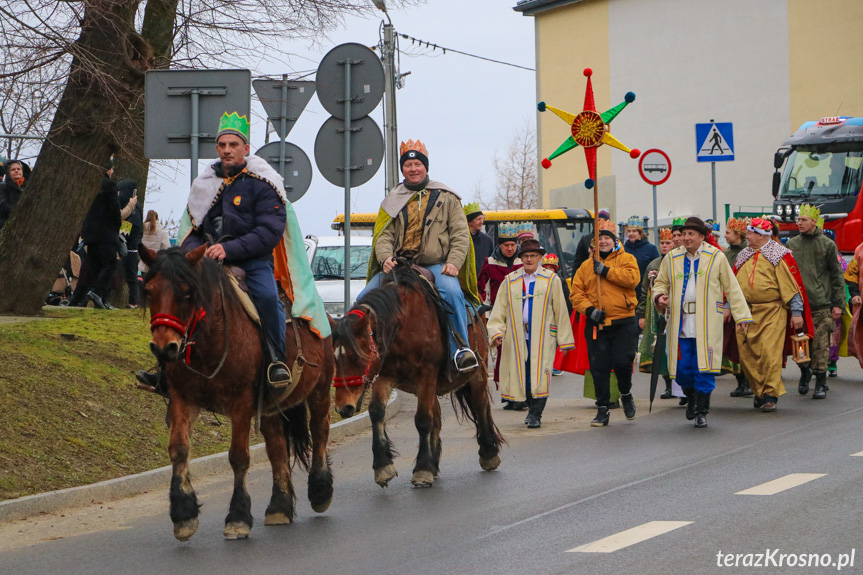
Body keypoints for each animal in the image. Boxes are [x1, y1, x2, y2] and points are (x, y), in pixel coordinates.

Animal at [140, 245, 332, 544]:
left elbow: (238, 456)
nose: (164, 347)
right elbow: (179, 449)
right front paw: (184, 515)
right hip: (270, 408)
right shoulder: (184, 398)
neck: (212, 338)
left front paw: (238, 517)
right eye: (149, 291)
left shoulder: (241, 403)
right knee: (277, 447)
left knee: (320, 430)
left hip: (320, 389)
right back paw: (279, 507)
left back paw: (321, 491)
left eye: (187, 292)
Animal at [332, 264, 506, 488]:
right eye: (334, 358)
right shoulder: (385, 376)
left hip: (477, 374)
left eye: (356, 357)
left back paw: (488, 453)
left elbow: (423, 420)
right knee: (437, 419)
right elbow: (377, 412)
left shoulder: (426, 375)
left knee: (480, 405)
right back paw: (433, 461)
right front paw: (383, 465)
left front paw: (422, 469)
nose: (342, 407)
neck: (403, 324)